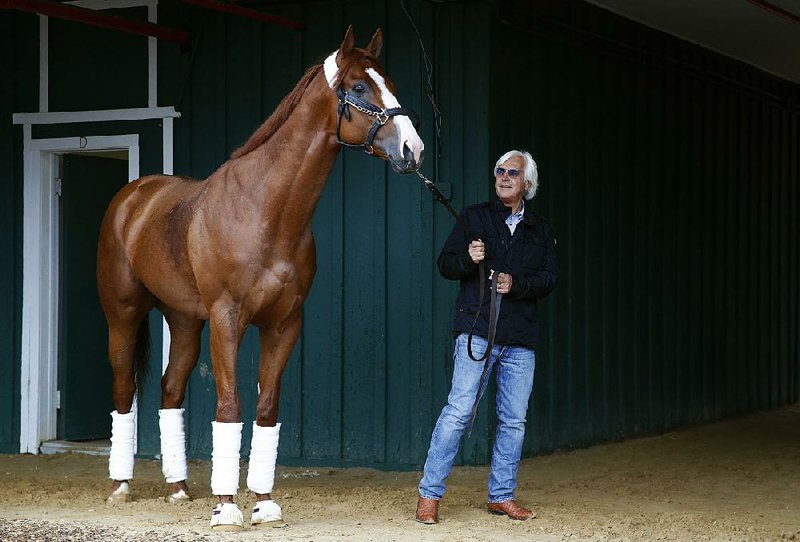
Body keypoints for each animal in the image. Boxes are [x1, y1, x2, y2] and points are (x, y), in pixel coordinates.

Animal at [95, 26, 424, 532]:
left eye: (389, 82)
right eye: (357, 88)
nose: (413, 150)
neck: (263, 211)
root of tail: (133, 196)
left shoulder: (284, 324)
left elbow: (267, 411)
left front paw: (265, 504)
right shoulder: (228, 319)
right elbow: (230, 406)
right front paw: (226, 507)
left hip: (185, 322)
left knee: (170, 391)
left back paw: (178, 488)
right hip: (123, 315)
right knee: (123, 390)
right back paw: (121, 486)